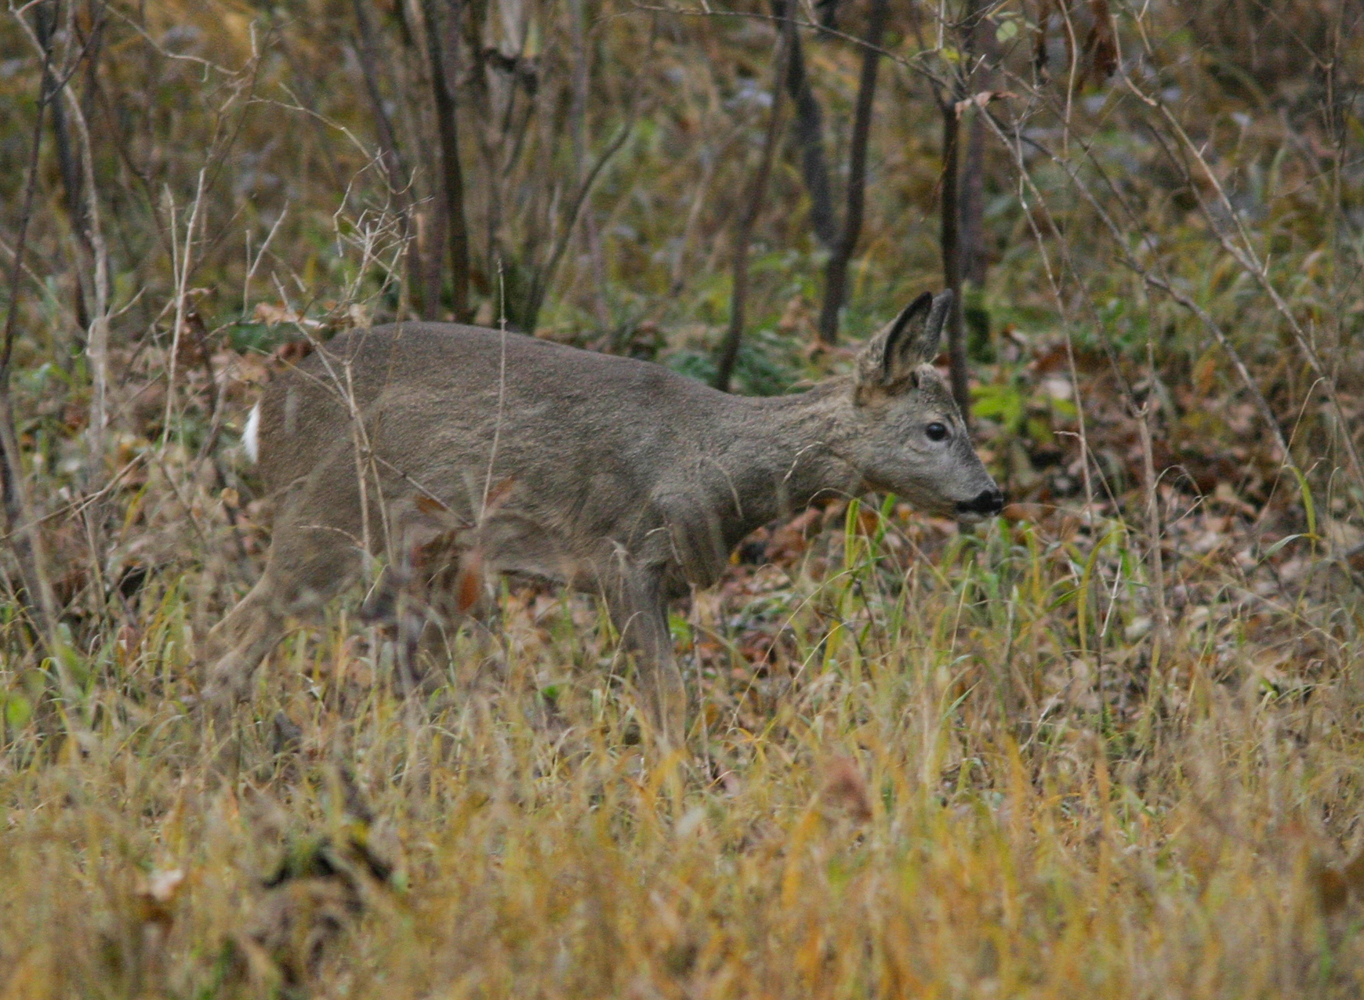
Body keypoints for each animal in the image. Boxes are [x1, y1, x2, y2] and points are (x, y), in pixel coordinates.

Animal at [207, 289, 1009, 742]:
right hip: (332, 513)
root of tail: (263, 416)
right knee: (234, 637)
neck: (707, 463)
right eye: (937, 429)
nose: (991, 495)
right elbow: (668, 699)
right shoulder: (621, 558)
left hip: (433, 552)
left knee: (400, 665)